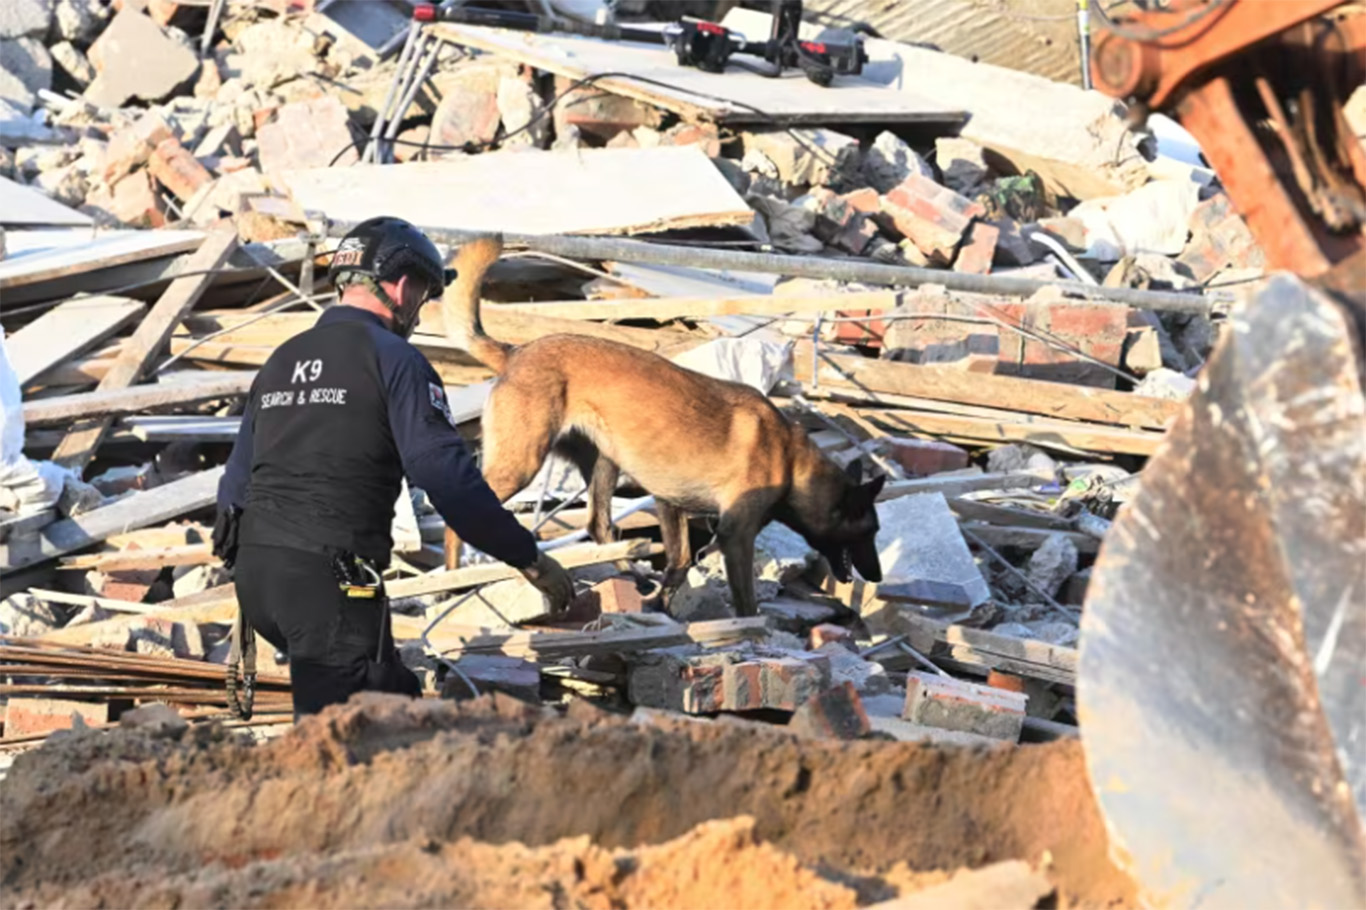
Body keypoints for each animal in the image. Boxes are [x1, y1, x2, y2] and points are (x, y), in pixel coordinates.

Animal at [439, 235, 885, 617]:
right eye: (870, 532)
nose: (878, 576)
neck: (792, 461)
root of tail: (515, 353)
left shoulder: (670, 500)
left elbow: (681, 561)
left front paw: (661, 604)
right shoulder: (735, 537)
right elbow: (743, 597)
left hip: (604, 462)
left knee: (599, 525)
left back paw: (631, 578)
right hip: (523, 461)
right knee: (461, 513)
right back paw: (451, 583)